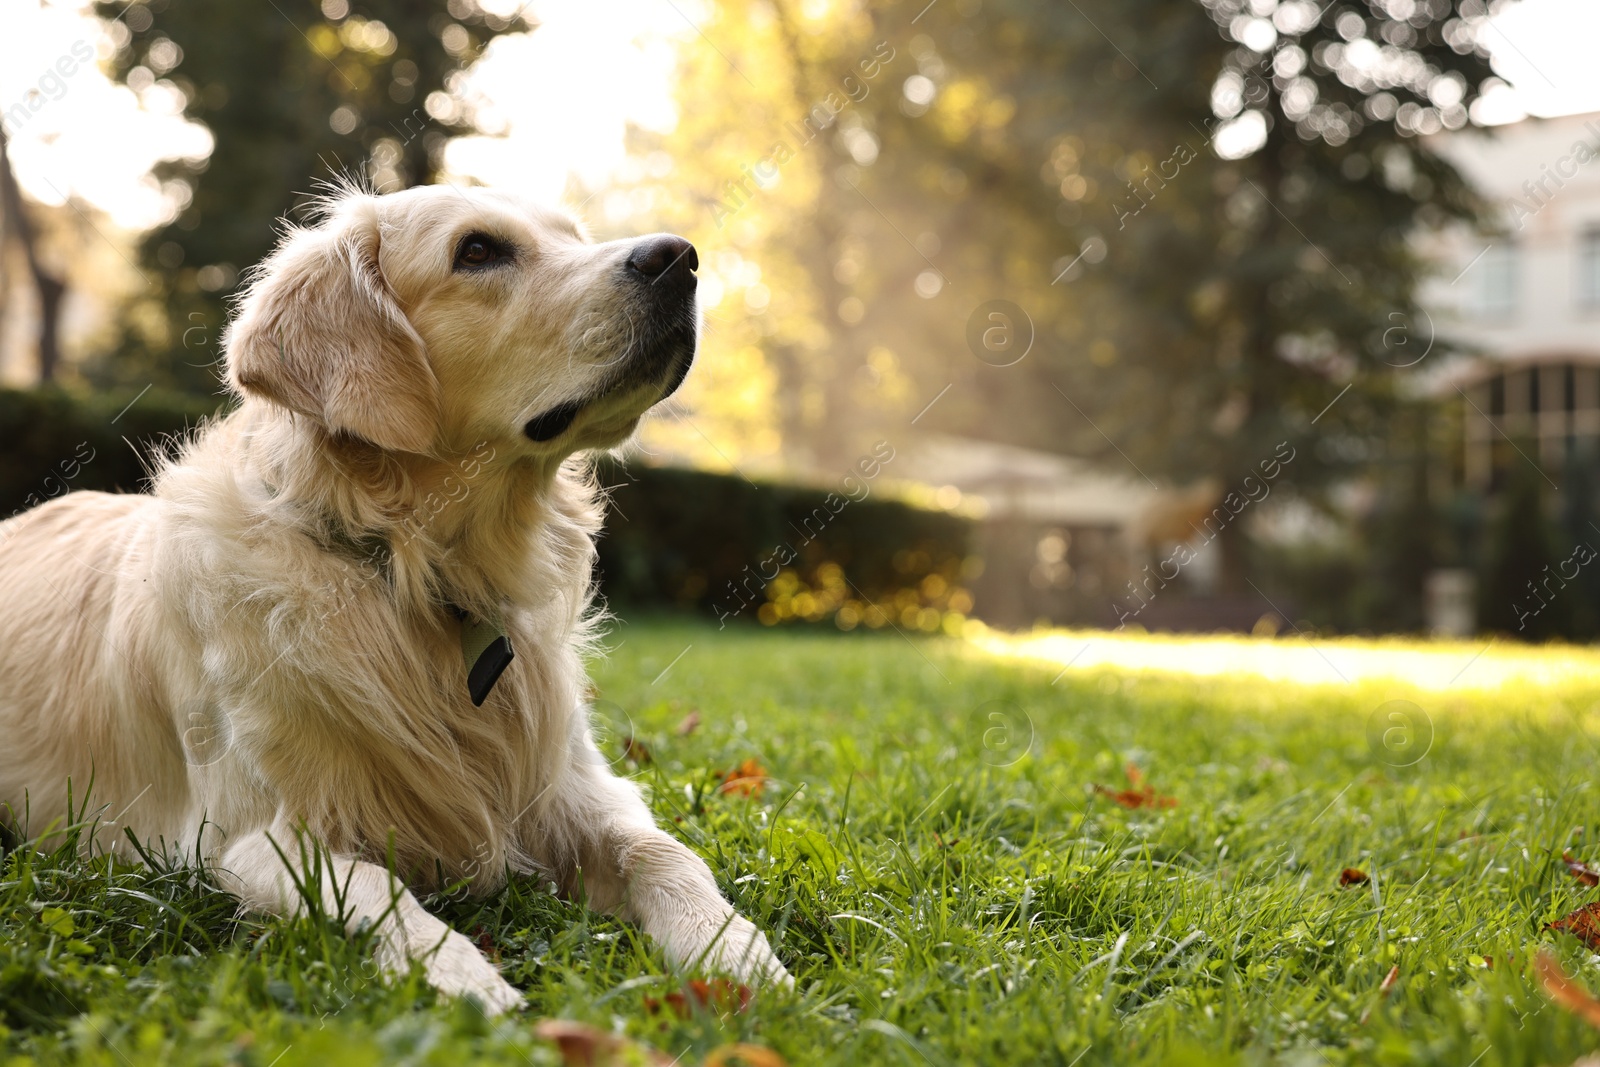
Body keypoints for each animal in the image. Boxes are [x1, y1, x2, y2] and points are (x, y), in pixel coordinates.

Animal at [0, 187, 793, 1017]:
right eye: (477, 251)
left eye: (572, 236)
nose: (681, 257)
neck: (415, 571)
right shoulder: (251, 838)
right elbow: (376, 887)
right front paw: (465, 979)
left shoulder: (577, 785)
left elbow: (665, 851)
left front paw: (736, 952)